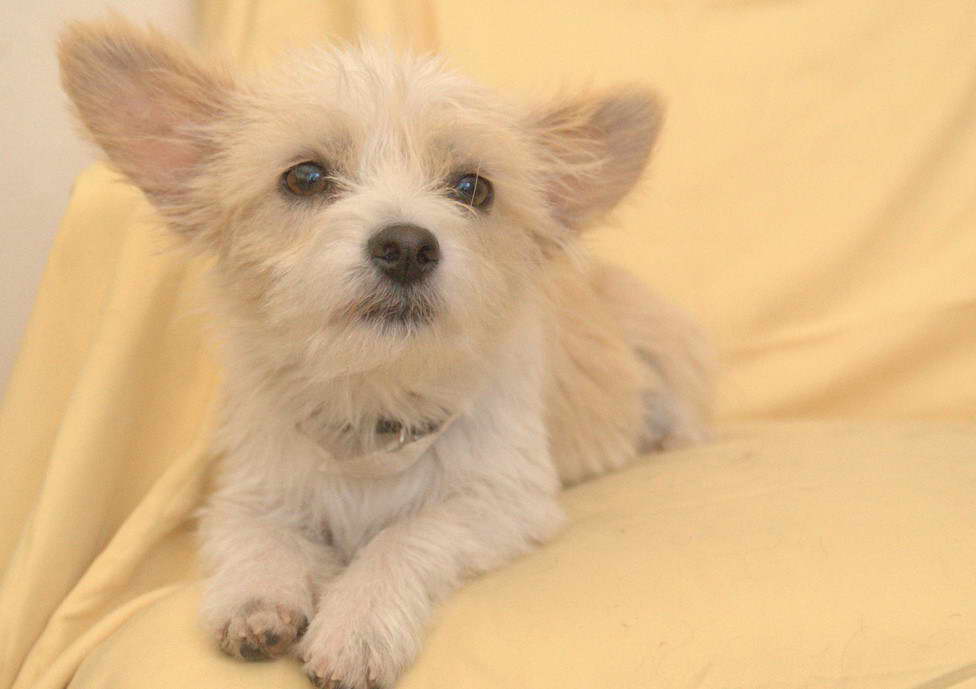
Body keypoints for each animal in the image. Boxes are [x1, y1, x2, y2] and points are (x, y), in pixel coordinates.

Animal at [63, 20, 716, 688]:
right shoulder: (249, 494)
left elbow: (405, 536)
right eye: (304, 177)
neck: (372, 399)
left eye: (473, 188)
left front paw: (357, 623)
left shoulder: (503, 501)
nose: (406, 246)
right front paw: (257, 598)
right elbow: (256, 537)